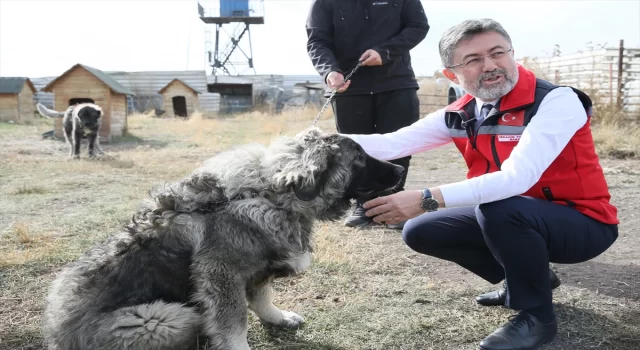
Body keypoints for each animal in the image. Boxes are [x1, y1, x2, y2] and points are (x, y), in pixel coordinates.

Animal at [43, 127, 404, 350]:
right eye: (360, 159)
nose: (401, 171)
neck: (271, 196)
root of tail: (57, 335)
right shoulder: (222, 274)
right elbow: (234, 321)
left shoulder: (254, 269)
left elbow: (261, 298)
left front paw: (277, 318)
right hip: (161, 318)